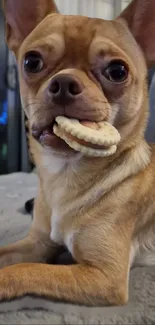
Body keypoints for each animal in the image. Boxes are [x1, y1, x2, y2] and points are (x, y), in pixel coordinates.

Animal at [0, 0, 155, 304]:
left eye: (118, 71)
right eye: (31, 62)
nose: (64, 83)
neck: (64, 174)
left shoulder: (105, 276)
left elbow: (27, 270)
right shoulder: (37, 244)